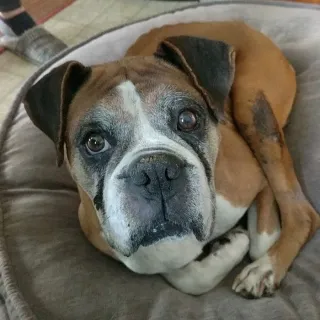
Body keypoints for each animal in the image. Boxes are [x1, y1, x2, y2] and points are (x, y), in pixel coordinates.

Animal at [23, 21, 318, 298]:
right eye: (94, 142)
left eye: (187, 119)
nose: (155, 171)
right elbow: (187, 276)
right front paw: (228, 247)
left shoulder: (255, 178)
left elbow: (261, 239)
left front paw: (248, 251)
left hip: (251, 107)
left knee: (302, 214)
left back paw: (266, 268)